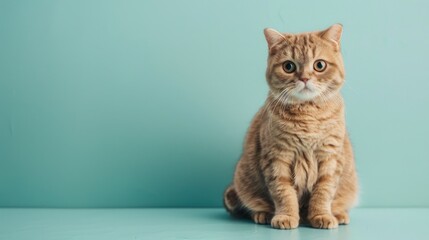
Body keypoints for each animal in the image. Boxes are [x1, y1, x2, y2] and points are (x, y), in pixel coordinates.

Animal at [224, 23, 358, 229]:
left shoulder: (329, 157)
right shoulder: (277, 158)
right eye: (289, 66)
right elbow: (283, 193)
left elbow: (323, 192)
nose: (304, 78)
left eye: (319, 65)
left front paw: (321, 215)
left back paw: (339, 214)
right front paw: (286, 216)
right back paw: (263, 214)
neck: (308, 115)